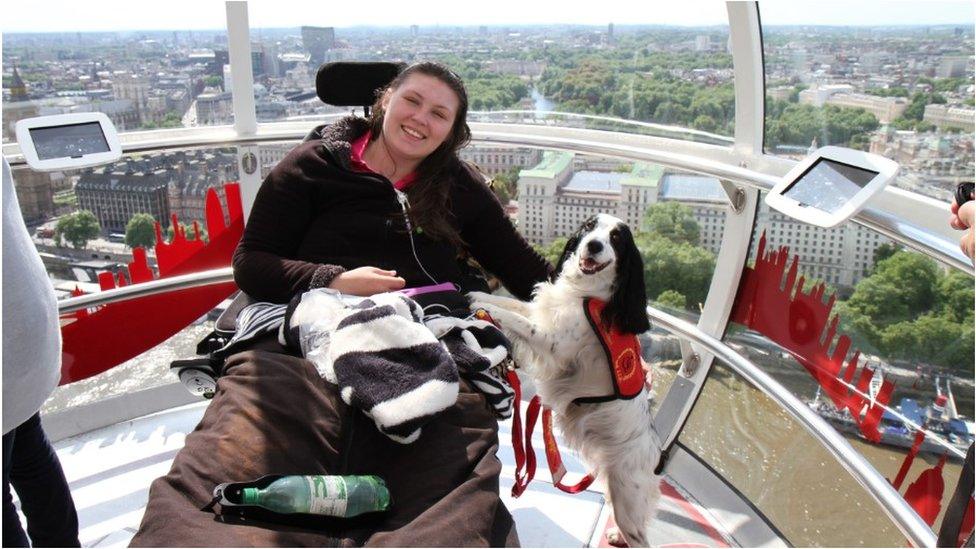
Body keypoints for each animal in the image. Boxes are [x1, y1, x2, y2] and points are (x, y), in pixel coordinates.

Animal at [468, 212, 660, 544]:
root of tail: (654, 453)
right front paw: (479, 294)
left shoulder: (553, 343)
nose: (594, 245)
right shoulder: (542, 312)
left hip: (627, 499)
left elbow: (516, 319)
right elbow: (516, 307)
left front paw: (485, 305)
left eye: (616, 238)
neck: (584, 292)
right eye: (588, 227)